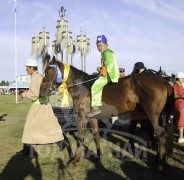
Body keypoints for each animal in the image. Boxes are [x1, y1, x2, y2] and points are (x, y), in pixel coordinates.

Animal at [40, 55, 174, 171]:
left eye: (49, 71)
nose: (41, 91)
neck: (82, 87)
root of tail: (164, 81)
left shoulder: (82, 117)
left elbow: (80, 138)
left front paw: (75, 160)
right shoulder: (92, 118)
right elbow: (96, 136)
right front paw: (98, 156)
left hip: (153, 116)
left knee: (161, 136)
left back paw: (159, 165)